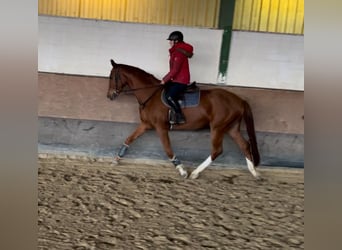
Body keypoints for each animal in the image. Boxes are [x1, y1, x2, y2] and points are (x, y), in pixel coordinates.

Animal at [107, 59, 260, 179]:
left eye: (111, 77)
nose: (109, 96)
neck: (150, 94)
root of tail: (239, 100)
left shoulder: (160, 127)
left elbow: (168, 149)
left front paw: (181, 170)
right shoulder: (145, 125)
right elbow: (129, 139)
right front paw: (116, 159)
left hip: (218, 127)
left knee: (217, 150)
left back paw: (196, 173)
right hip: (231, 128)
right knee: (244, 145)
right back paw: (254, 172)